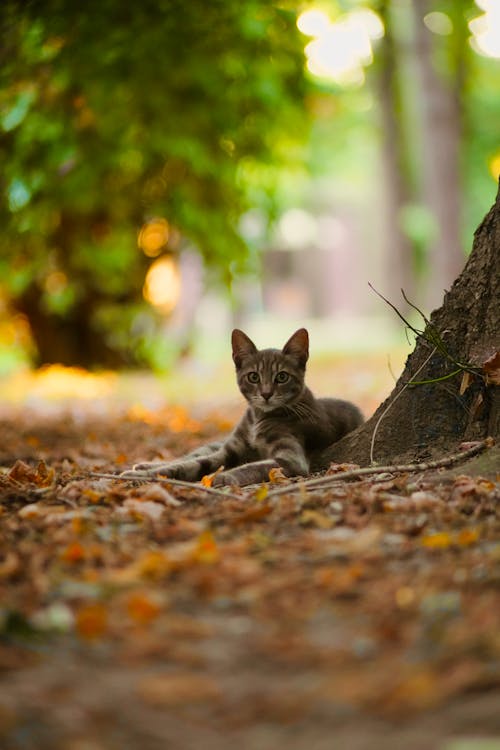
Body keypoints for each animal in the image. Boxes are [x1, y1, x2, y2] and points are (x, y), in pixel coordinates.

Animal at [129, 328, 364, 488]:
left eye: (282, 377)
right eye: (253, 377)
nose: (266, 394)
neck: (258, 418)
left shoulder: (292, 459)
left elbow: (254, 466)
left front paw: (224, 476)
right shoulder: (229, 450)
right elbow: (192, 464)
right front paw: (144, 475)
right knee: (191, 455)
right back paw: (144, 465)